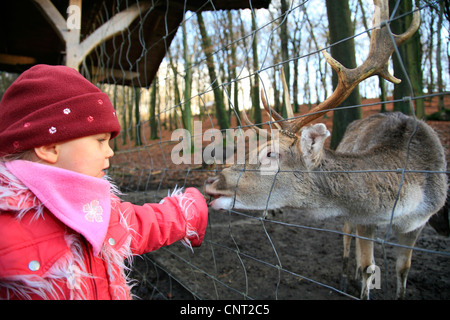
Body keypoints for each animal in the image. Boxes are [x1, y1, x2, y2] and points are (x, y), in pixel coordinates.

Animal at [204, 0, 446, 300]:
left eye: (270, 154)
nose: (212, 181)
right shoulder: (363, 218)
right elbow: (367, 267)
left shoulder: (420, 222)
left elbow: (402, 270)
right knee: (346, 236)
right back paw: (344, 277)